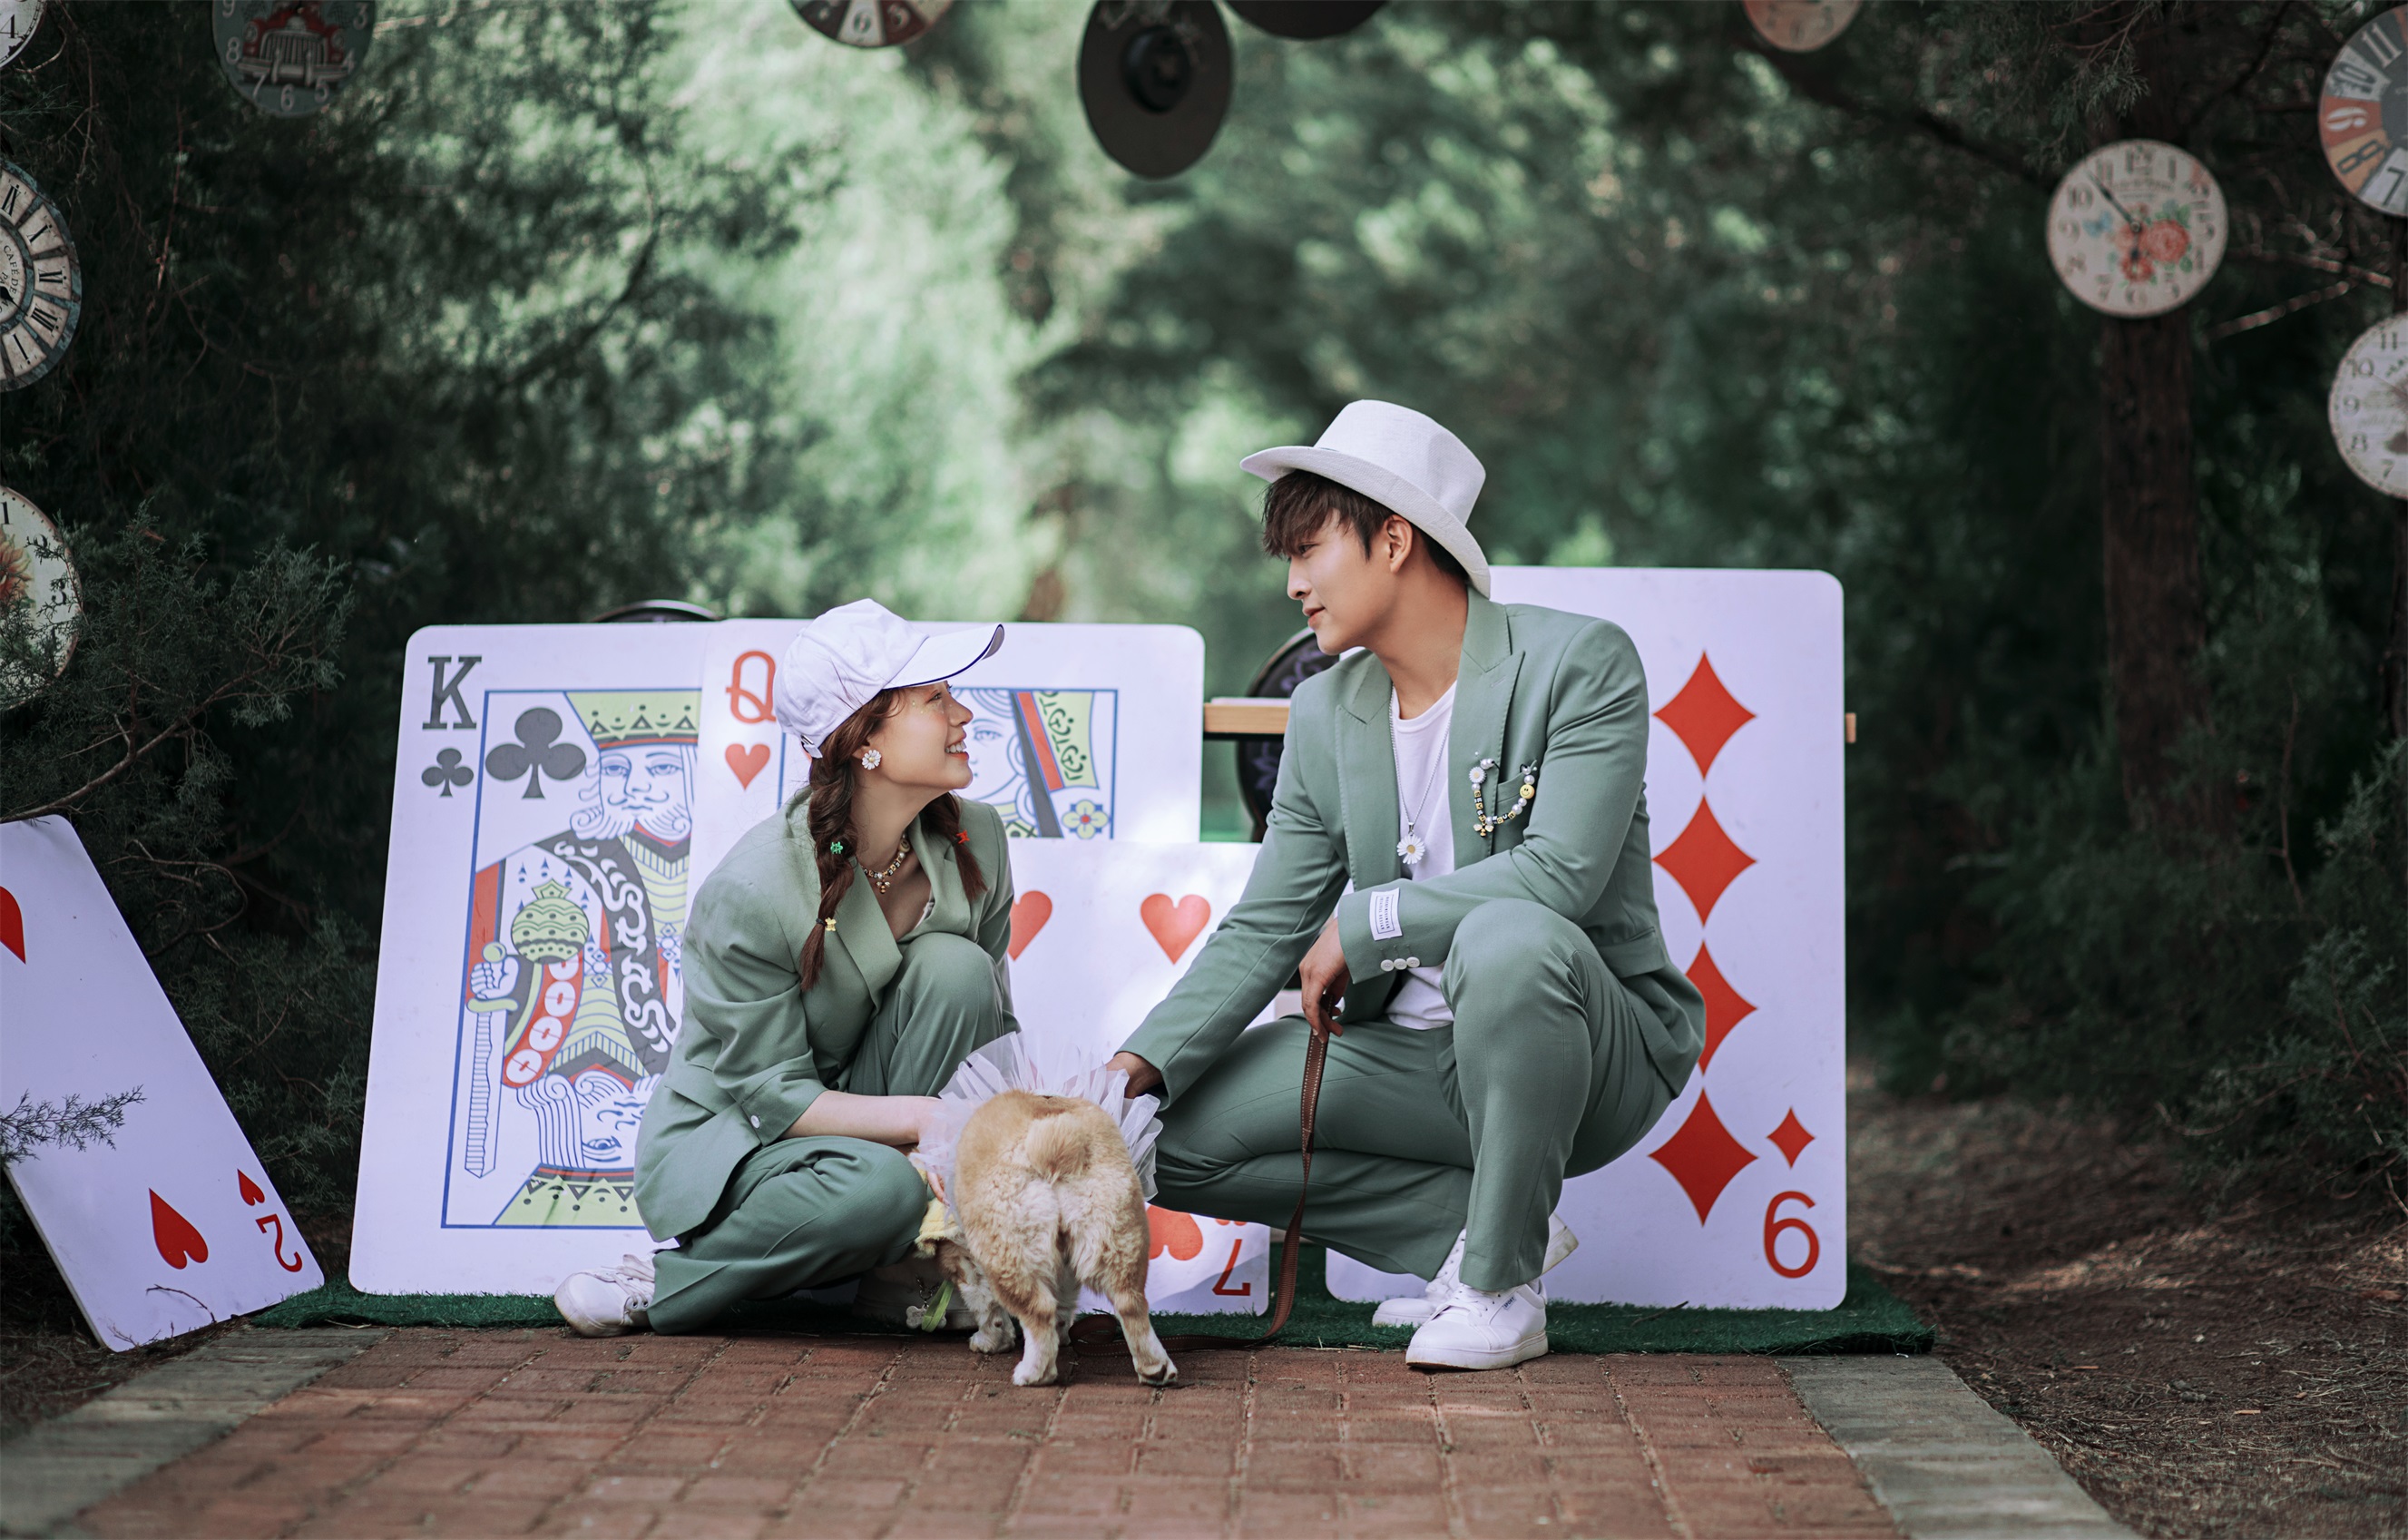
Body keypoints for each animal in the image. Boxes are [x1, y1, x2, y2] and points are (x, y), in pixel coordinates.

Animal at [928, 1089, 1177, 1388]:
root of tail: (1053, 1136)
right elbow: (1064, 1301)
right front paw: (1062, 1335)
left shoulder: (967, 1261)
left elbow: (985, 1305)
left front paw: (990, 1341)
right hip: (1115, 1236)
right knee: (1131, 1304)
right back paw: (1156, 1368)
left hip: (1009, 1253)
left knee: (1038, 1310)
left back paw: (1034, 1373)